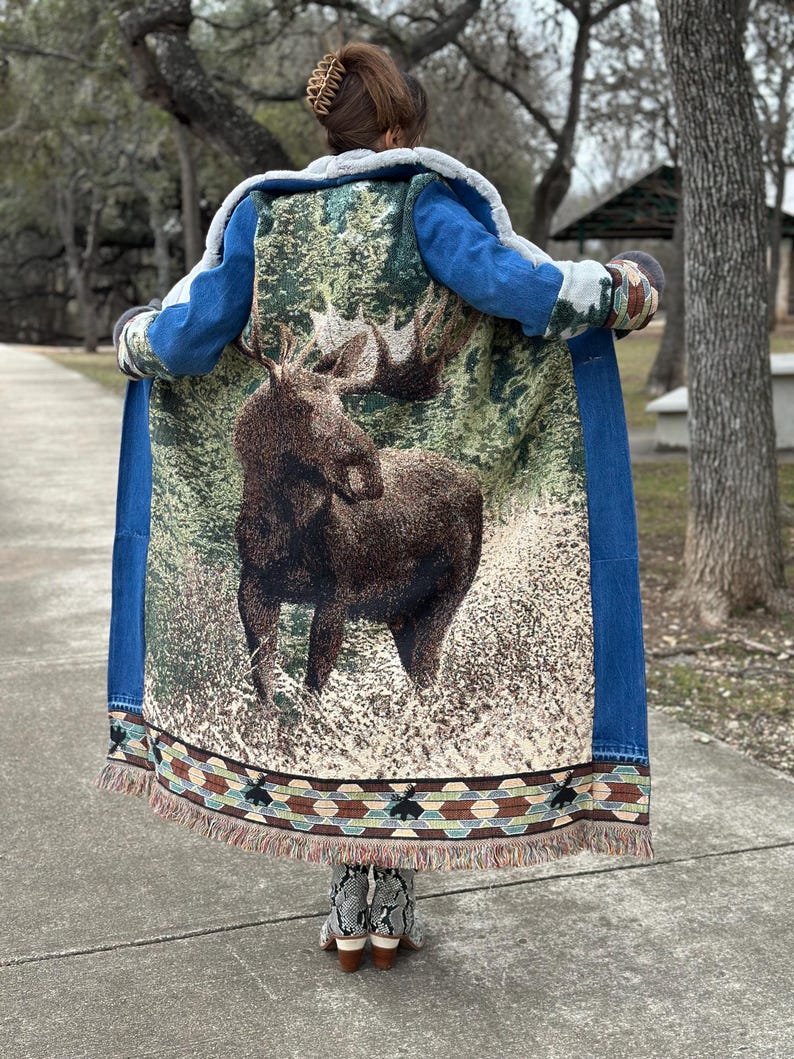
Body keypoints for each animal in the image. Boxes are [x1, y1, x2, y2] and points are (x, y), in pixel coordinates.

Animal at [231, 306, 483, 708]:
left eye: (340, 404)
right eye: (300, 406)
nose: (368, 469)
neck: (287, 533)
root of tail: (476, 486)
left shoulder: (339, 590)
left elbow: (314, 684)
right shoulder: (254, 584)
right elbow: (264, 682)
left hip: (450, 591)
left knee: (430, 676)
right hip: (401, 612)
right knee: (421, 677)